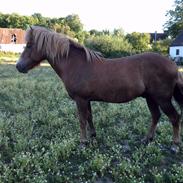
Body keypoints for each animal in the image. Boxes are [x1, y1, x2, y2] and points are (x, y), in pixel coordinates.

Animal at [16, 26, 183, 150]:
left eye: (29, 45)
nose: (18, 66)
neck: (76, 64)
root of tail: (174, 66)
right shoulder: (86, 100)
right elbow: (89, 117)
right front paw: (93, 136)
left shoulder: (80, 100)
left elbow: (82, 120)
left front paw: (83, 142)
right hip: (151, 98)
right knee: (156, 116)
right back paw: (147, 139)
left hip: (162, 99)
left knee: (174, 117)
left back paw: (175, 144)